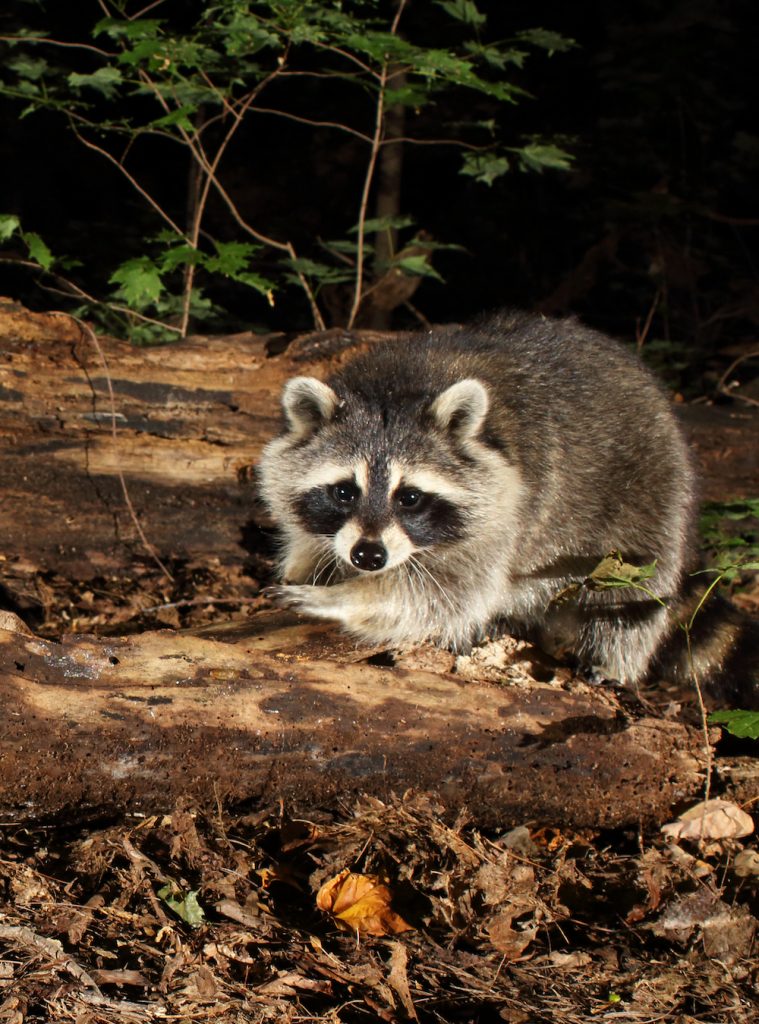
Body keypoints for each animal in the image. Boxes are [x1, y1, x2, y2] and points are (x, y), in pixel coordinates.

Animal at [258, 311, 758, 703]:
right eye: (345, 492)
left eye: (410, 497)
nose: (368, 556)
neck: (392, 389)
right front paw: (308, 560)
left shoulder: (503, 514)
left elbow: (443, 597)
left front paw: (342, 598)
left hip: (651, 497)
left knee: (632, 599)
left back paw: (614, 659)